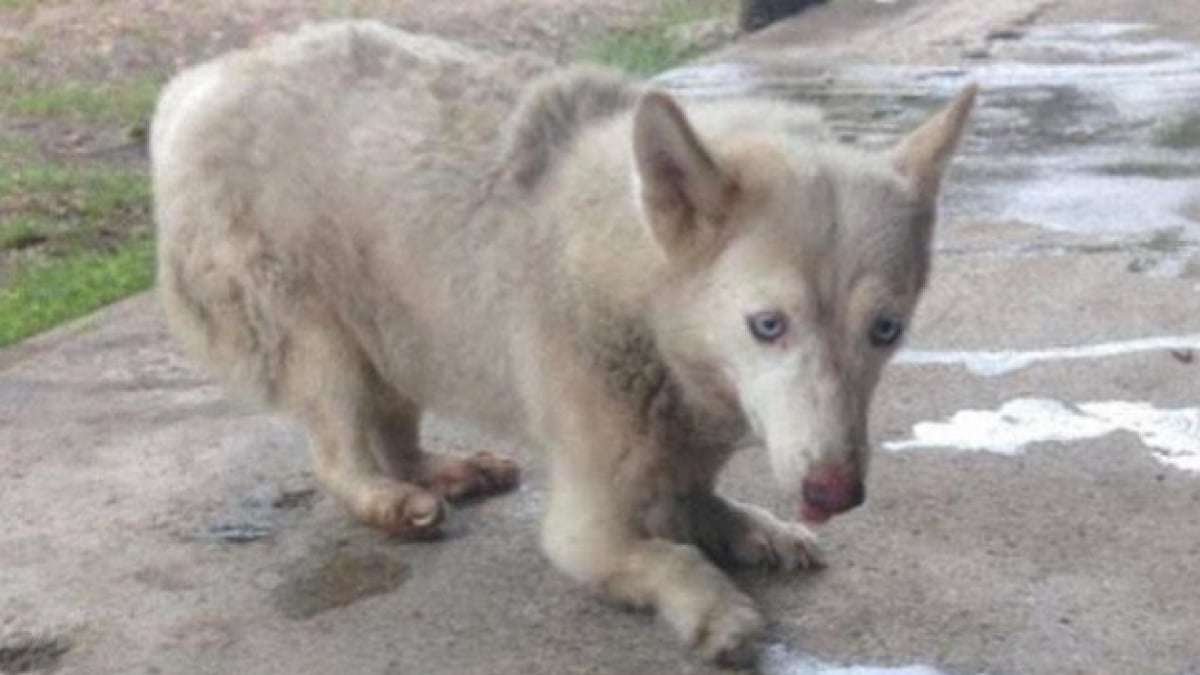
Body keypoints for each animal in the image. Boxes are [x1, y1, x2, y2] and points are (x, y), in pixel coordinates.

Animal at [152, 19, 974, 662]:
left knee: (396, 431)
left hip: (406, 327)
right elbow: (671, 558)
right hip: (324, 348)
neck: (642, 304)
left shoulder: (682, 461)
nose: (835, 494)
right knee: (340, 459)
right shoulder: (586, 531)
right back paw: (391, 502)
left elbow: (707, 508)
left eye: (886, 330)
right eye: (767, 325)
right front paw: (717, 609)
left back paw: (445, 471)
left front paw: (760, 529)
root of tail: (199, 81)